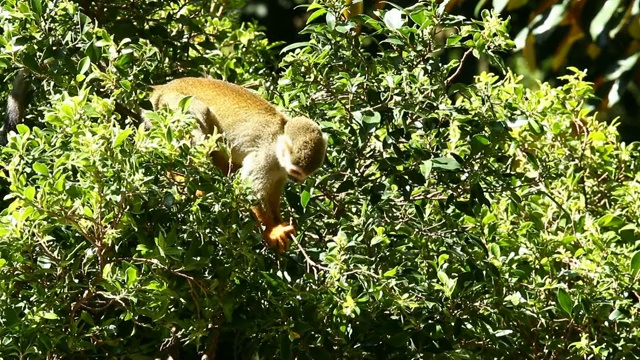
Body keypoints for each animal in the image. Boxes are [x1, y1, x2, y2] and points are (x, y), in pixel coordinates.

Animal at [149, 78, 328, 253]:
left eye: (303, 175)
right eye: (295, 172)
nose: (297, 181)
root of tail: (162, 88)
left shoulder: (279, 169)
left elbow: (272, 192)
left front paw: (279, 221)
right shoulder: (265, 156)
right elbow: (250, 190)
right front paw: (272, 230)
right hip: (173, 105)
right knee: (199, 116)